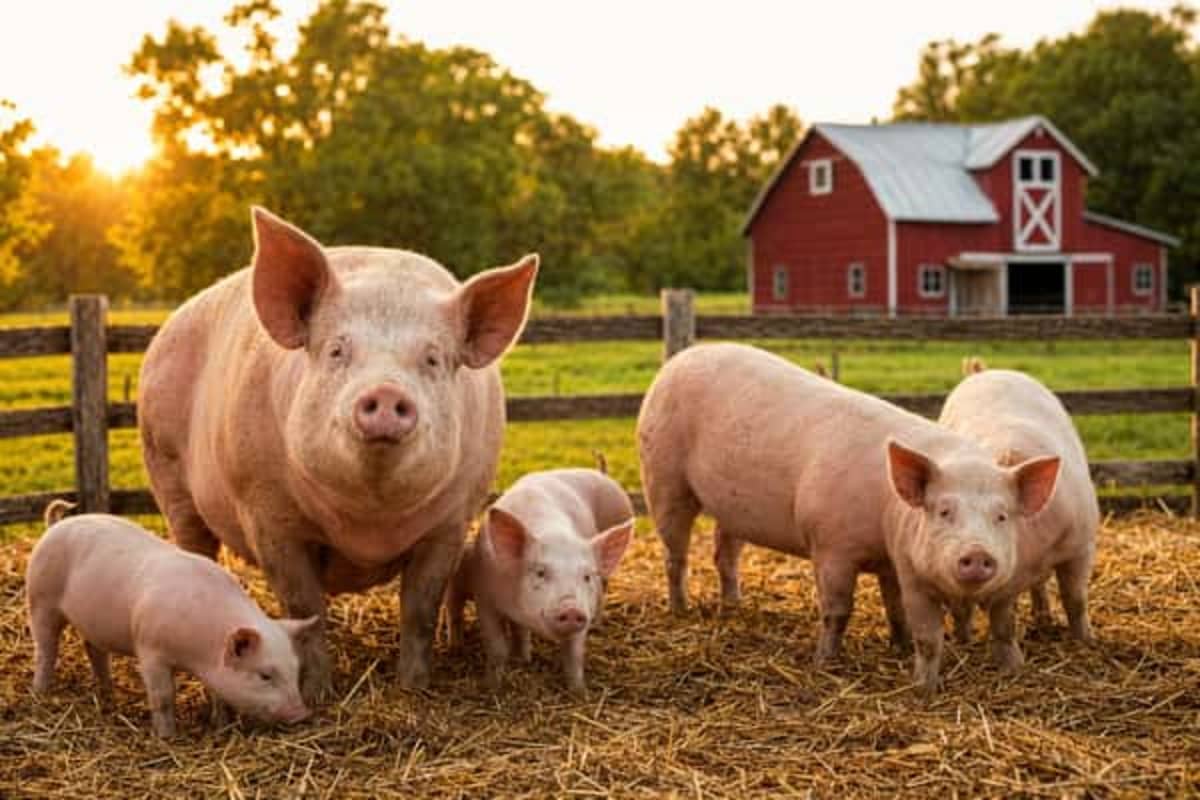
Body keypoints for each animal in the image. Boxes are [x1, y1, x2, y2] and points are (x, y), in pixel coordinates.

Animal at [26, 500, 316, 737]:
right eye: (265, 676)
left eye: (296, 670)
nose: (301, 714)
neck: (197, 653)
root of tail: (55, 526)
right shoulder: (149, 648)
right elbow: (163, 697)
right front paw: (167, 738)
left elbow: (219, 696)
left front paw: (220, 725)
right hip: (40, 599)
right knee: (45, 650)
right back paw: (40, 692)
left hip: (91, 620)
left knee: (93, 649)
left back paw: (109, 693)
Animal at [138, 207, 538, 700]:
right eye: (336, 350)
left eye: (433, 359)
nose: (386, 392)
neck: (367, 521)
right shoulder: (268, 515)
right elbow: (305, 608)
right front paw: (318, 694)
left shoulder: (452, 520)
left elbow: (419, 610)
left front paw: (413, 688)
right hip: (166, 469)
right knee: (195, 547)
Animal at [445, 468, 635, 693]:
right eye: (540, 572)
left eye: (587, 576)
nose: (571, 608)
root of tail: (600, 473)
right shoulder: (485, 597)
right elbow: (497, 648)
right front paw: (492, 687)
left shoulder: (584, 612)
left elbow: (574, 655)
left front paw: (580, 693)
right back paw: (458, 648)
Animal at [637, 343, 1060, 695]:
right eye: (943, 510)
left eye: (1002, 515)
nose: (978, 554)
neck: (885, 512)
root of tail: (677, 360)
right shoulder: (830, 544)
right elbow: (837, 609)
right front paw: (825, 661)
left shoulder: (893, 559)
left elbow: (895, 605)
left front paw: (899, 646)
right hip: (664, 479)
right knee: (675, 553)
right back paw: (681, 609)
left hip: (730, 507)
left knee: (724, 553)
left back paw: (735, 605)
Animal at [938, 368, 1098, 646]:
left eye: (1001, 518)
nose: (975, 556)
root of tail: (986, 372)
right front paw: (964, 640)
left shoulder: (1082, 544)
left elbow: (1075, 598)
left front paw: (1086, 642)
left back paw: (1045, 621)